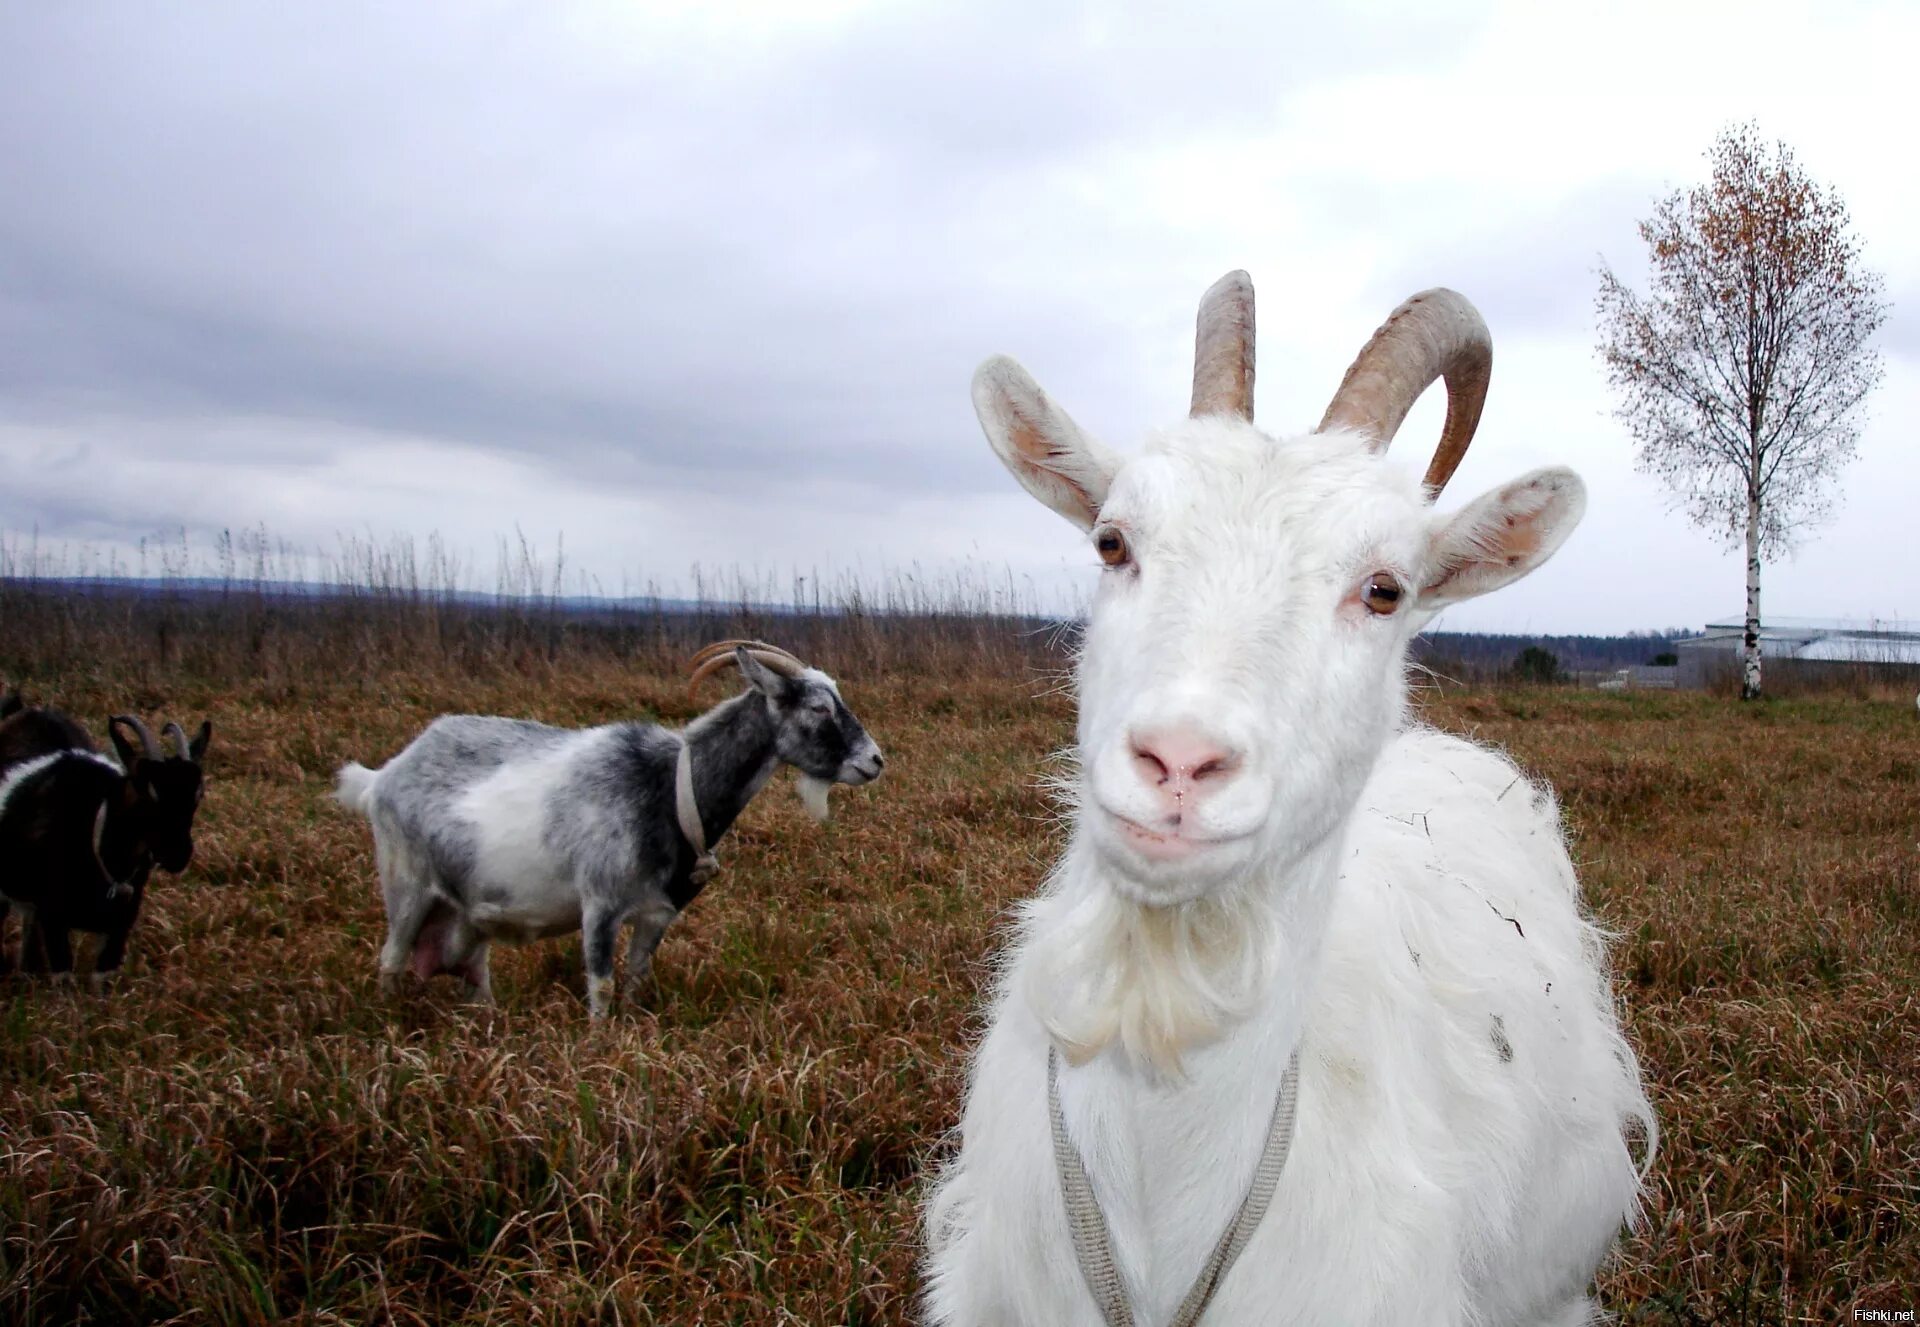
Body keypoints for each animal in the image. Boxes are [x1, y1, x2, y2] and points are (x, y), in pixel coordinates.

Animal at [336, 645, 883, 1013]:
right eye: (818, 707)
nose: (875, 761)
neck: (671, 787)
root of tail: (382, 777)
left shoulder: (658, 913)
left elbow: (637, 977)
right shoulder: (598, 904)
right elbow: (600, 984)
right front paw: (598, 1048)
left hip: (469, 912)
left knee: (475, 974)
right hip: (406, 886)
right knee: (391, 958)